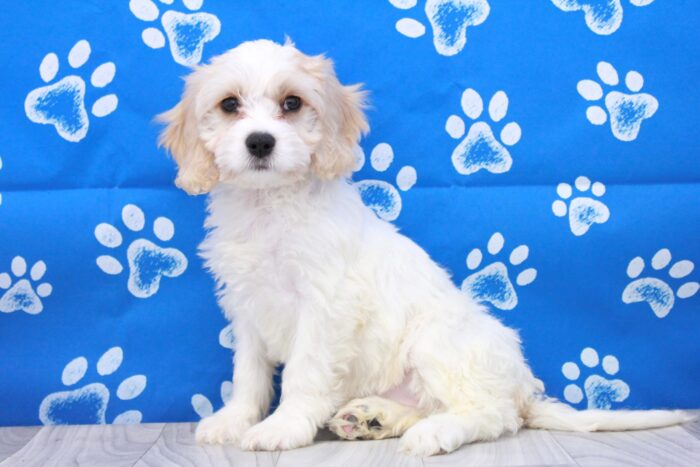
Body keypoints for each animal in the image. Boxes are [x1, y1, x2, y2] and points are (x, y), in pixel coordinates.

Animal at [157, 39, 688, 458]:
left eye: (292, 102)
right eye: (229, 105)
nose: (261, 142)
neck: (269, 207)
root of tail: (522, 389)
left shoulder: (325, 307)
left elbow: (304, 372)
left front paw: (283, 426)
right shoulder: (246, 306)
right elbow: (248, 372)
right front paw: (234, 419)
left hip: (437, 342)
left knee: (490, 414)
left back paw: (436, 432)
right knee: (434, 406)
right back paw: (375, 419)